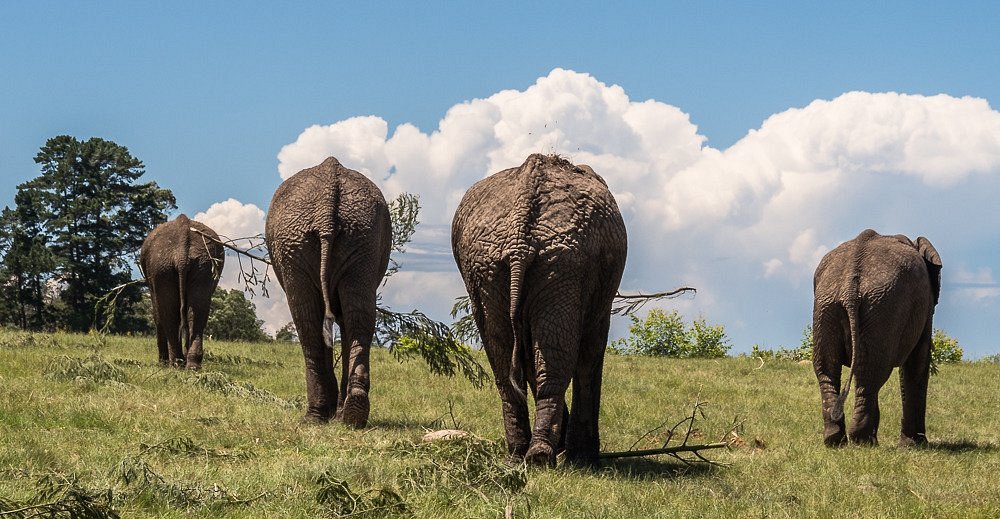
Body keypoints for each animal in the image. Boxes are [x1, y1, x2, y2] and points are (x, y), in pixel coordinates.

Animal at [139, 214, 225, 369]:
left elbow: (158, 314)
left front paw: (163, 363)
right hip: (201, 264)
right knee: (196, 311)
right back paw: (191, 366)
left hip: (161, 266)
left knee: (169, 313)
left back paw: (176, 364)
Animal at [265, 156, 391, 428]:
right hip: (361, 235)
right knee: (359, 315)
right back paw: (352, 413)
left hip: (296, 243)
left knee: (305, 318)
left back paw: (315, 417)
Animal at [451, 153, 627, 466]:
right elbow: (590, 350)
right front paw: (582, 458)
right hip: (562, 262)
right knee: (553, 353)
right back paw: (542, 456)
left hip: (487, 265)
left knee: (504, 356)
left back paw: (520, 454)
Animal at [812, 229, 942, 447]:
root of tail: (850, 289)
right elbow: (917, 361)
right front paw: (914, 445)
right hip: (882, 309)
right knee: (871, 375)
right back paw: (864, 441)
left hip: (827, 307)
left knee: (829, 370)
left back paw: (835, 439)